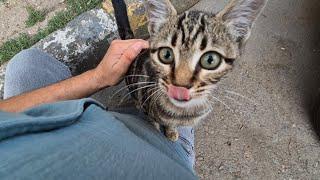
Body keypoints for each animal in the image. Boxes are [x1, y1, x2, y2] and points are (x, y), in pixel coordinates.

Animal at [125, 0, 268, 141]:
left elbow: (171, 124)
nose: (179, 88)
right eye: (166, 54)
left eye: (210, 60)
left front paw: (171, 131)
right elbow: (152, 122)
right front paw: (159, 129)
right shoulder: (147, 106)